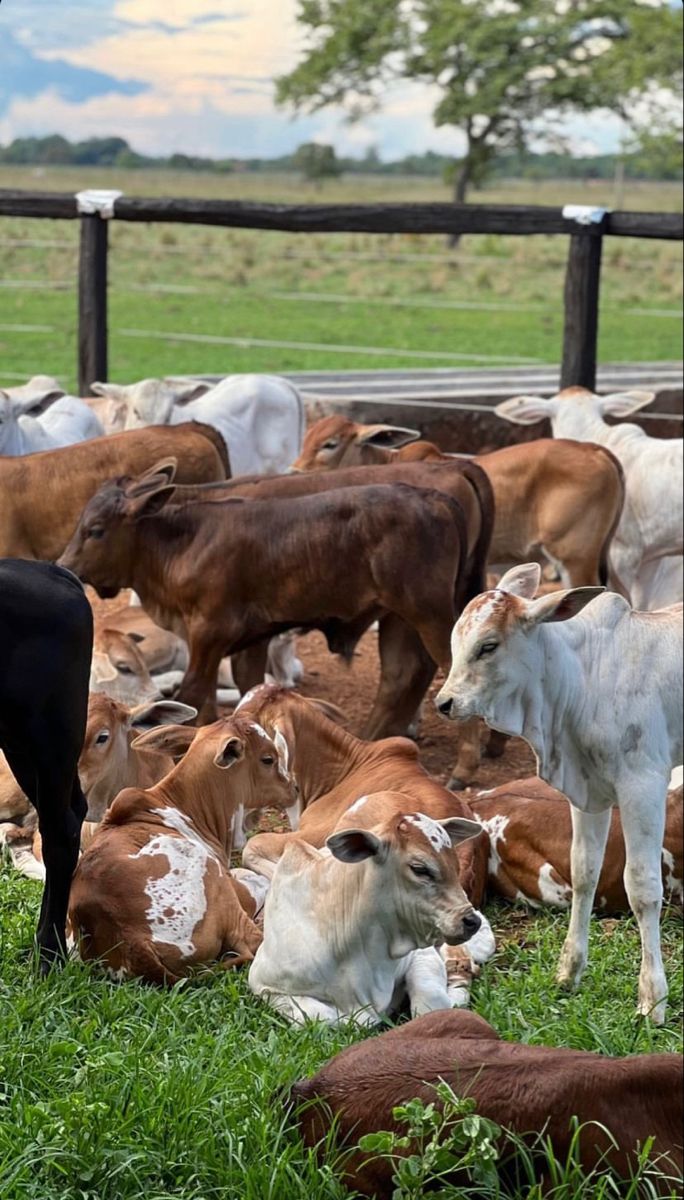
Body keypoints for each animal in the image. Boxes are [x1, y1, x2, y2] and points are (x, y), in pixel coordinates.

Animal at [58, 477, 472, 739]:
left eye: (95, 530)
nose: (65, 566)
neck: (183, 544)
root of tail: (433, 497)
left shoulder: (209, 633)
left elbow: (192, 694)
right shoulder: (238, 641)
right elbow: (229, 695)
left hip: (429, 614)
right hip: (398, 617)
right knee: (404, 674)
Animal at [68, 715, 297, 983]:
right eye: (268, 759)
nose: (294, 788)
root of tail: (135, 941)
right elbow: (256, 880)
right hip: (211, 876)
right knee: (252, 938)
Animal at [248, 803, 483, 1026]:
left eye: (455, 866)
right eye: (420, 869)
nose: (471, 921)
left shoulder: (420, 955)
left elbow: (432, 1005)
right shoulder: (263, 983)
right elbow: (319, 1015)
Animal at [293, 415, 625, 591]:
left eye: (330, 444)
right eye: (305, 438)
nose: (294, 471)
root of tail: (595, 450)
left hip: (575, 559)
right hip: (601, 557)